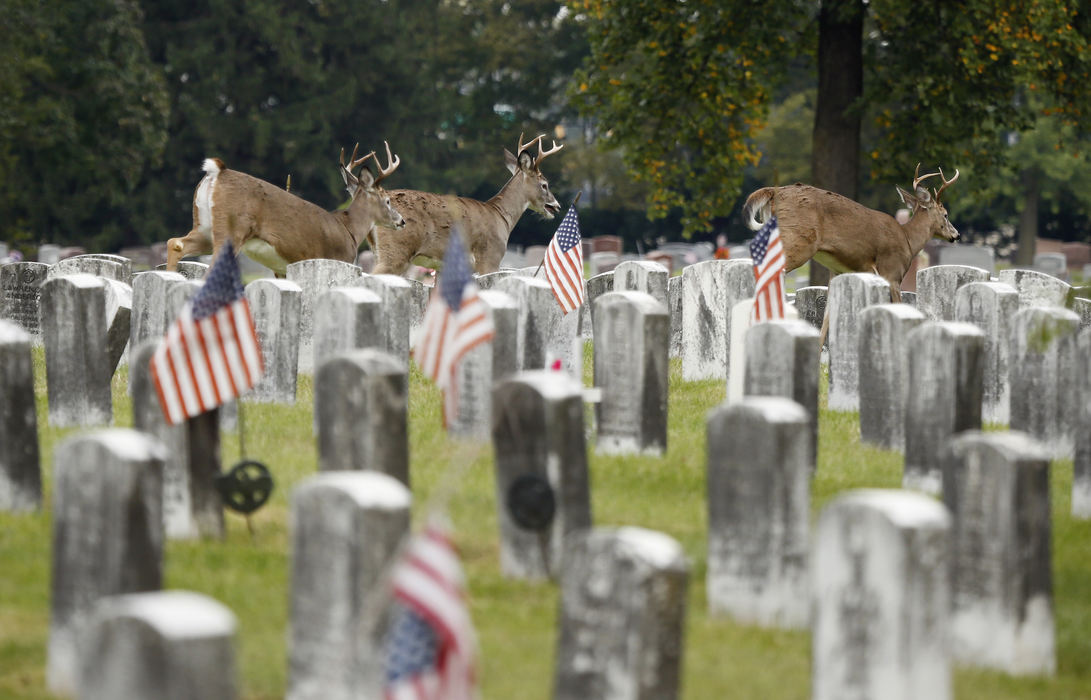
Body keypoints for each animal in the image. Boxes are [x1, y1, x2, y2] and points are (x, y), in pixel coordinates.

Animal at [159, 143, 403, 274]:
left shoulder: (280, 268)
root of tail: (217, 171)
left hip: (204, 228)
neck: (349, 228)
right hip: (231, 230)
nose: (401, 220)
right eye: (387, 200)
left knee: (175, 242)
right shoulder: (340, 260)